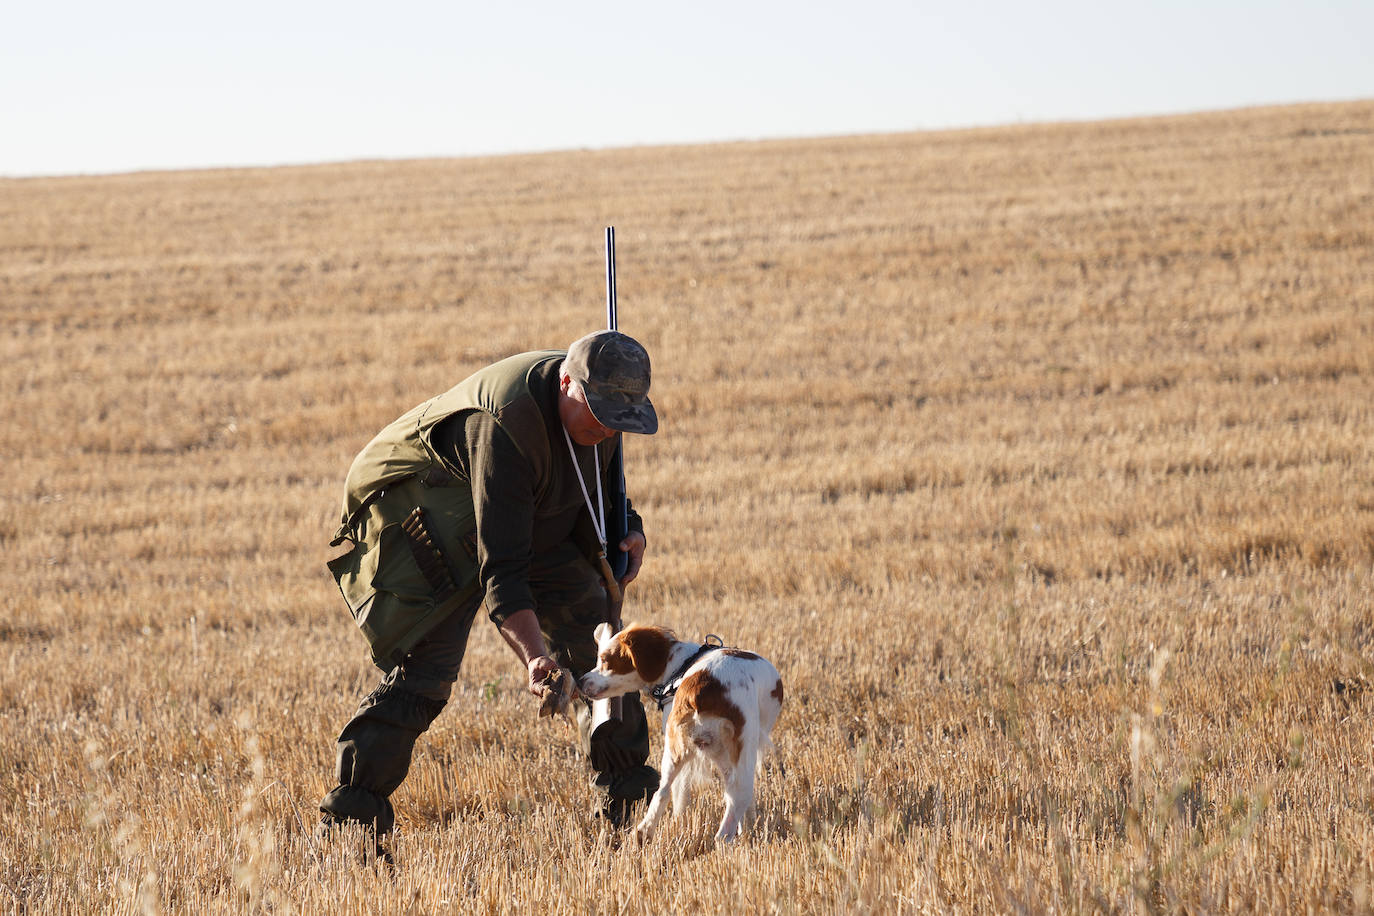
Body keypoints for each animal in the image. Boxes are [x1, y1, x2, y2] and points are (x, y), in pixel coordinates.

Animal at [574, 623, 785, 845]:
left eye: (605, 660)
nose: (580, 682)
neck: (679, 665)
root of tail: (702, 686)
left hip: (676, 749)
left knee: (663, 791)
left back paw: (644, 833)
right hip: (742, 747)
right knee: (738, 797)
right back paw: (724, 840)